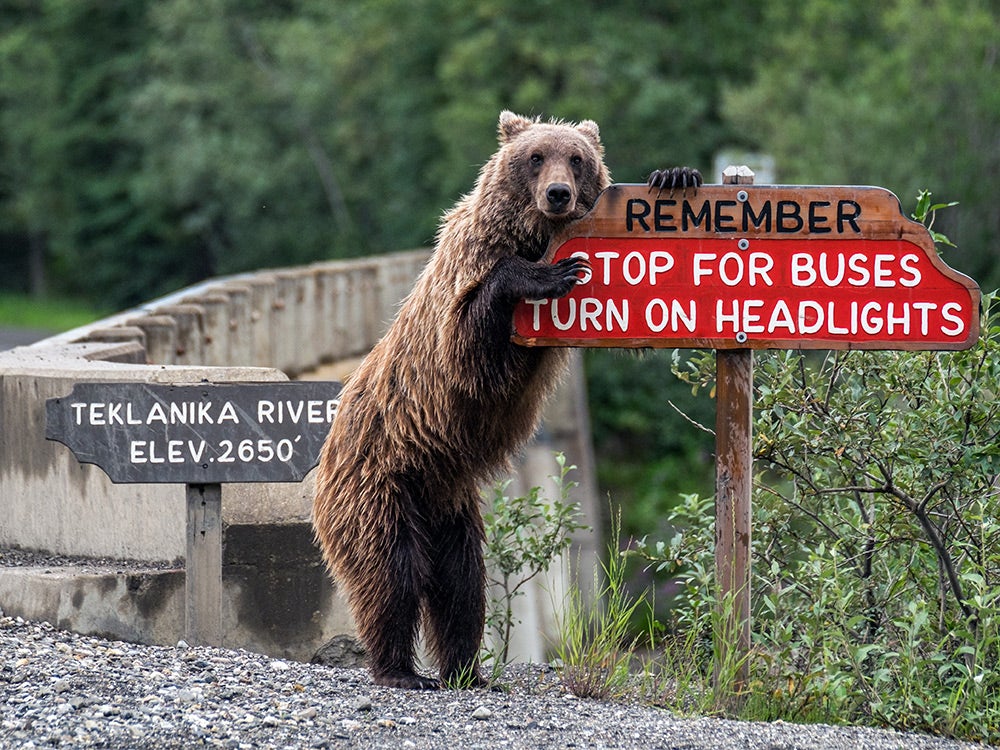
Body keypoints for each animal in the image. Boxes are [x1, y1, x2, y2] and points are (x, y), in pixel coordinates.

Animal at [316, 111, 700, 692]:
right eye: (535, 157)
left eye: (577, 158)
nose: (559, 194)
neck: (531, 233)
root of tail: (327, 450)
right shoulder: (463, 279)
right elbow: (469, 345)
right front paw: (548, 273)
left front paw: (675, 176)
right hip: (380, 482)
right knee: (392, 572)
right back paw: (399, 669)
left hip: (449, 507)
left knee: (461, 585)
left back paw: (465, 669)